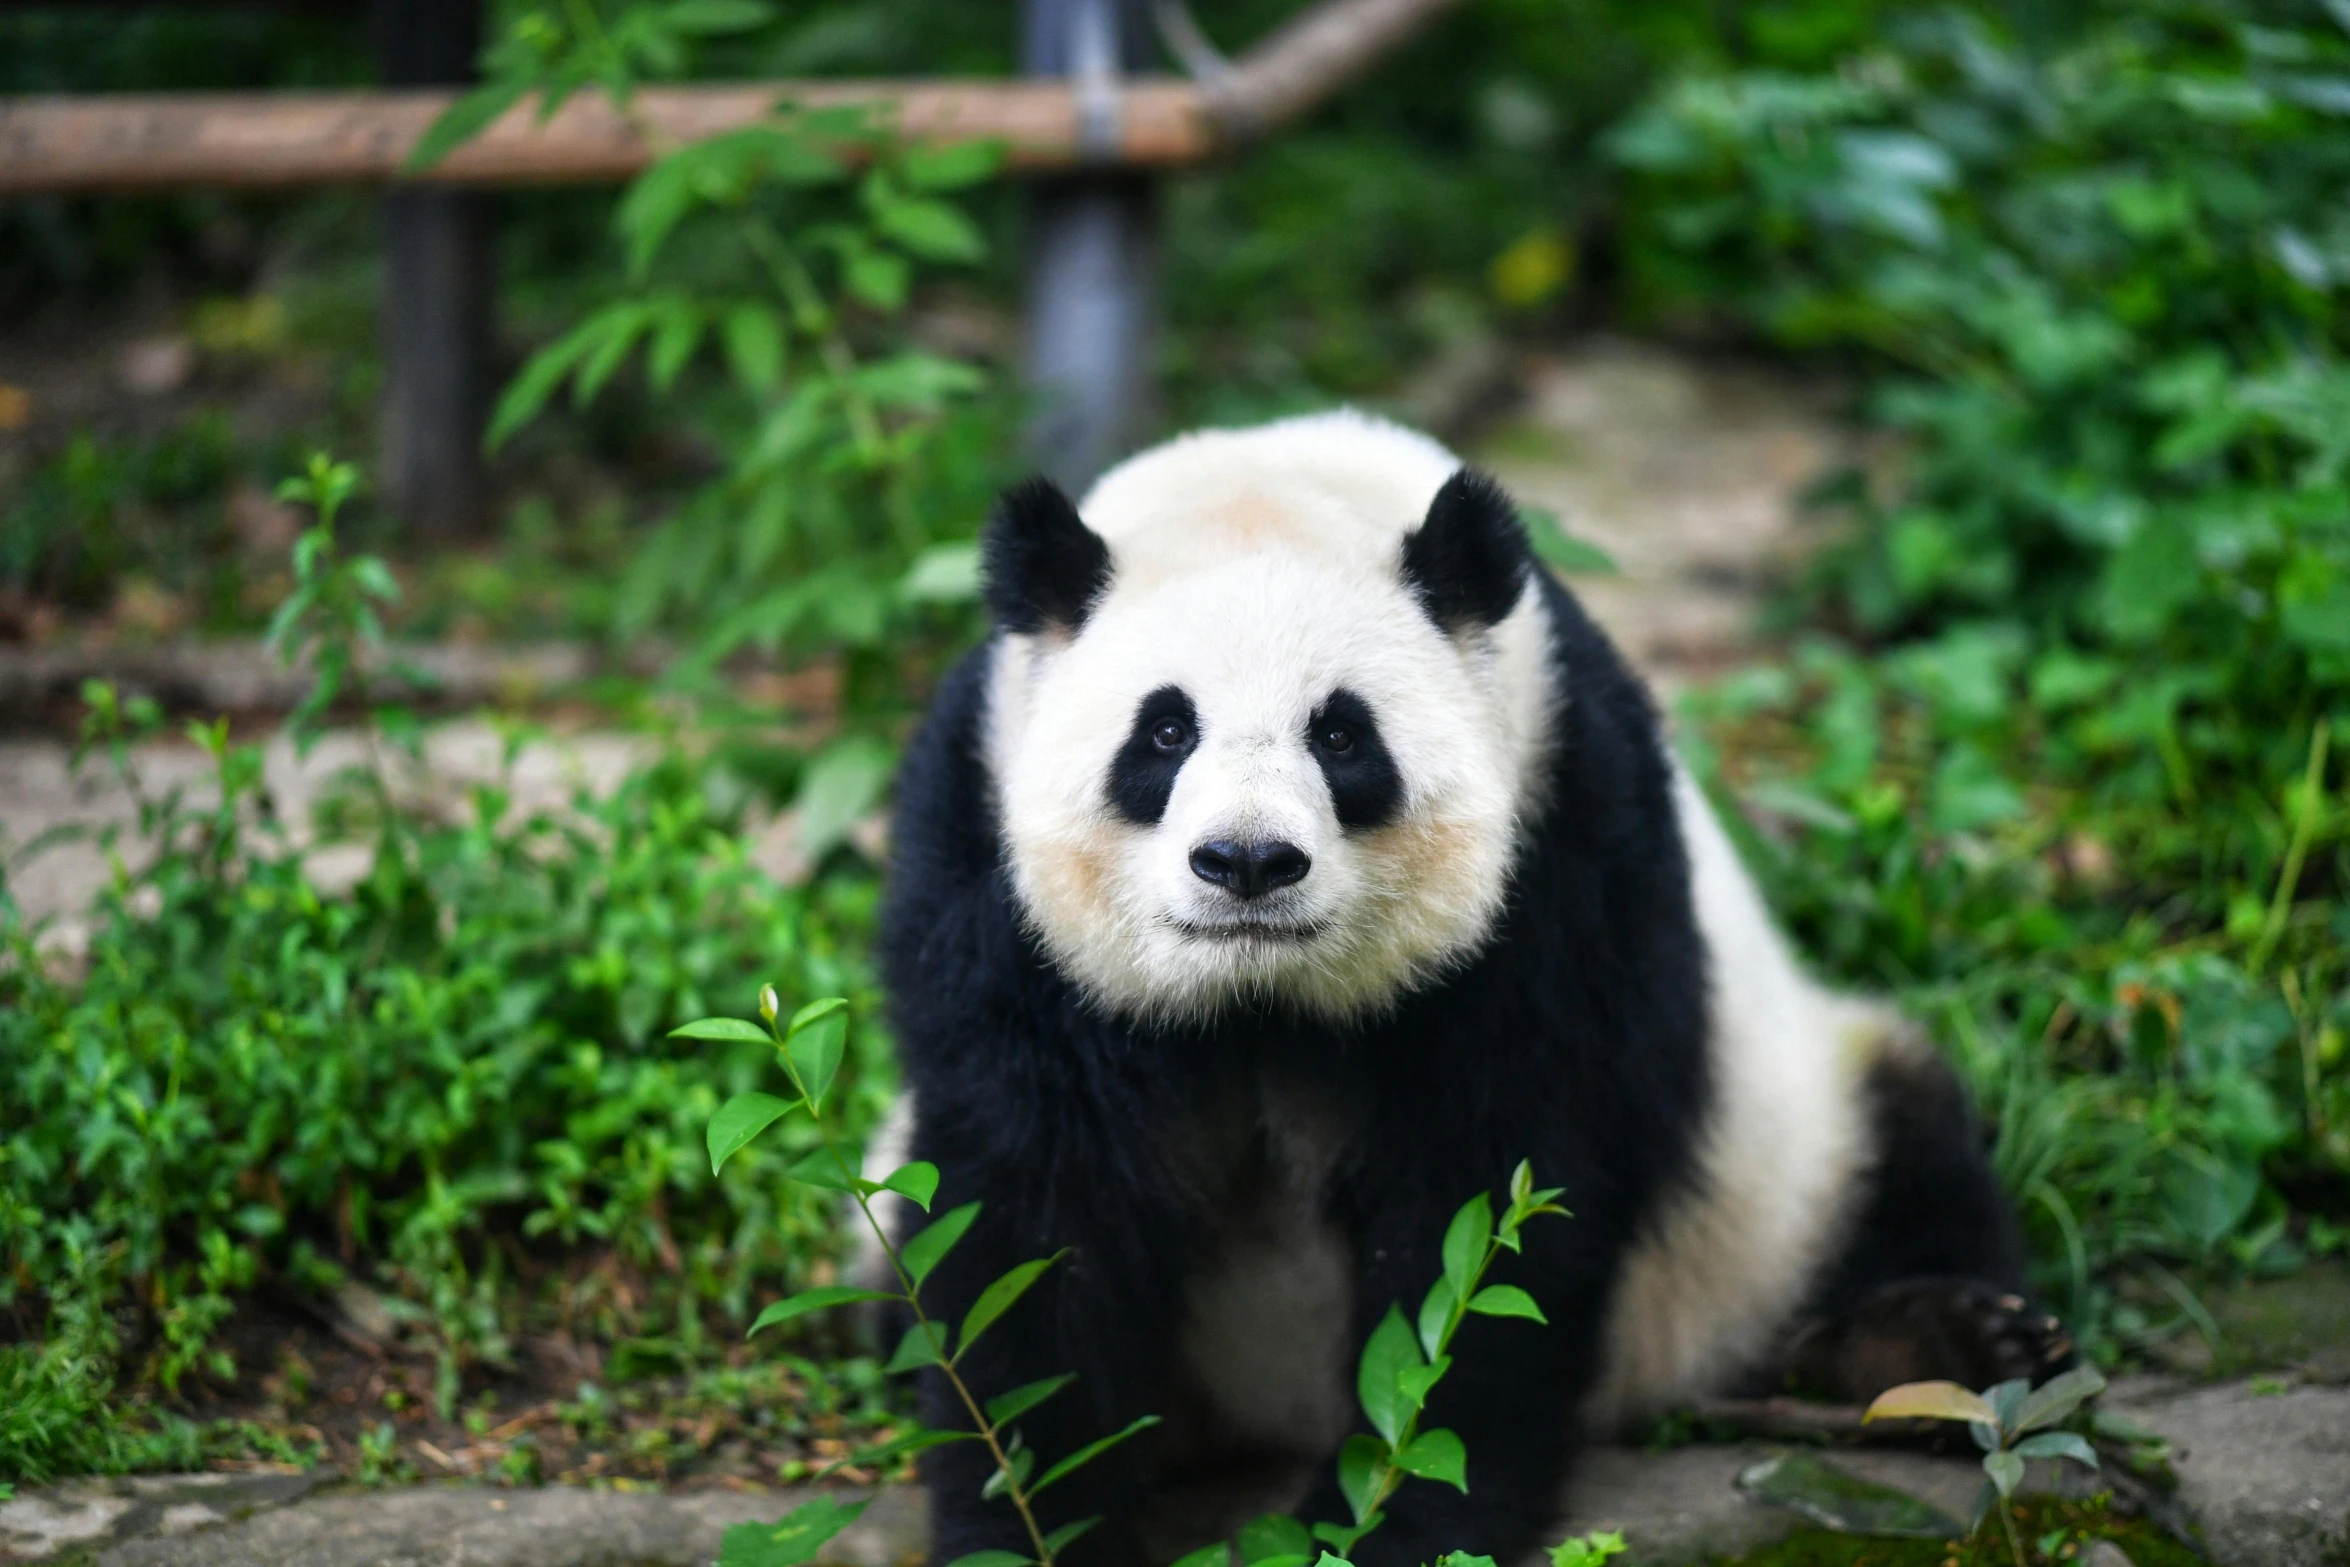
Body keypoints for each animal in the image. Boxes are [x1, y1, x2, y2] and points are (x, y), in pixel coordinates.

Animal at [874, 413, 2068, 1567]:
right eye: (1164, 731)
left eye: (1341, 734)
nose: (1249, 862)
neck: (1262, 997)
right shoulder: (983, 868)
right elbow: (1035, 1212)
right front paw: (1032, 1527)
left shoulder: (1562, 840)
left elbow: (1491, 1201)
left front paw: (1387, 1521)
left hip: (1783, 1163)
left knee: (1908, 1149)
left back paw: (1946, 1346)